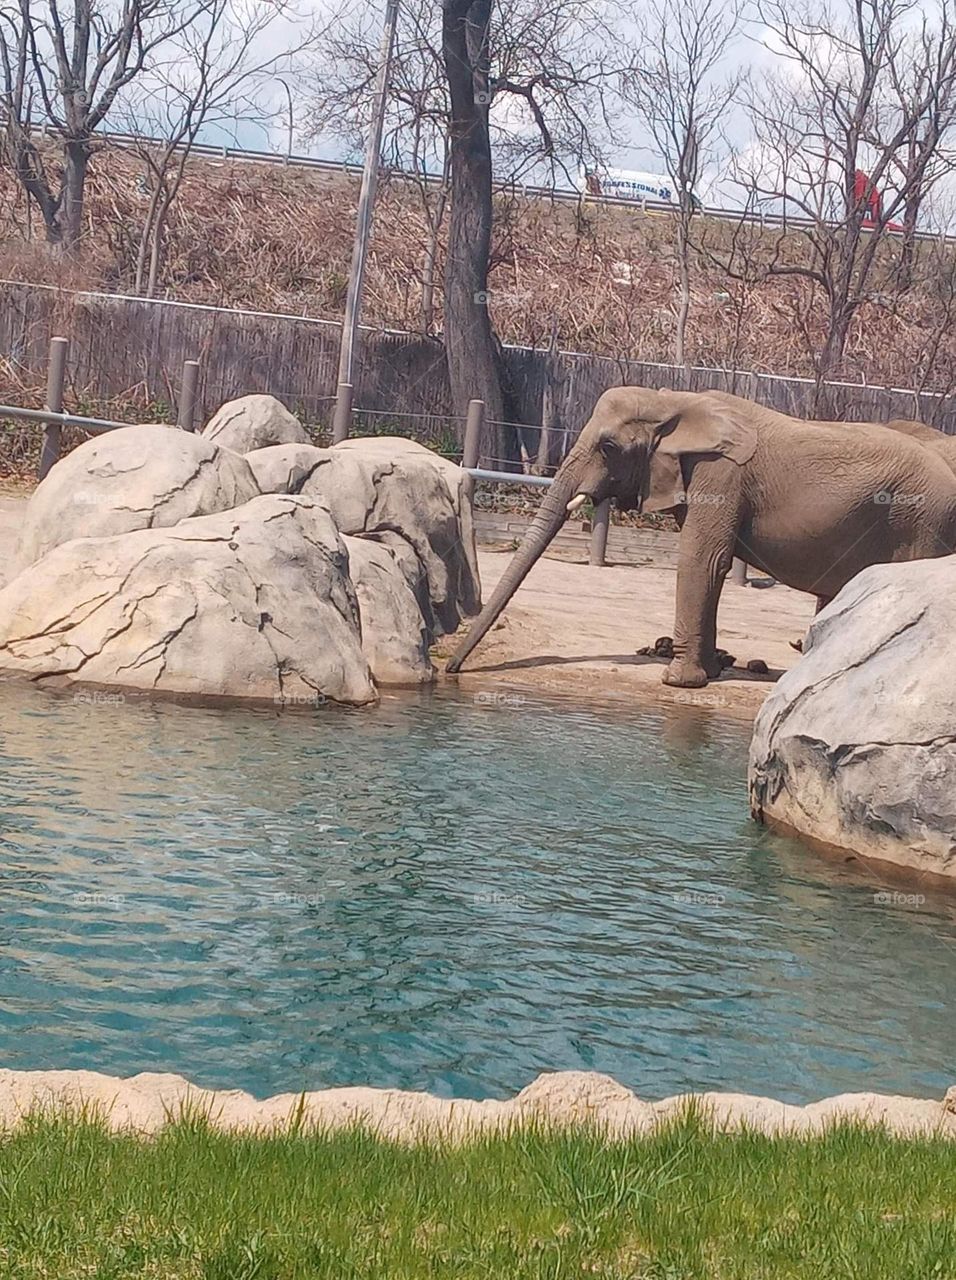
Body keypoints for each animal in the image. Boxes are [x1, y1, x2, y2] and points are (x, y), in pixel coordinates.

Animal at [442, 384, 956, 691]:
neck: (673, 402)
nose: (451, 670)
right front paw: (709, 672)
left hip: (920, 523)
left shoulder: (721, 475)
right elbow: (708, 565)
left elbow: (703, 559)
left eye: (608, 446)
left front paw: (679, 682)